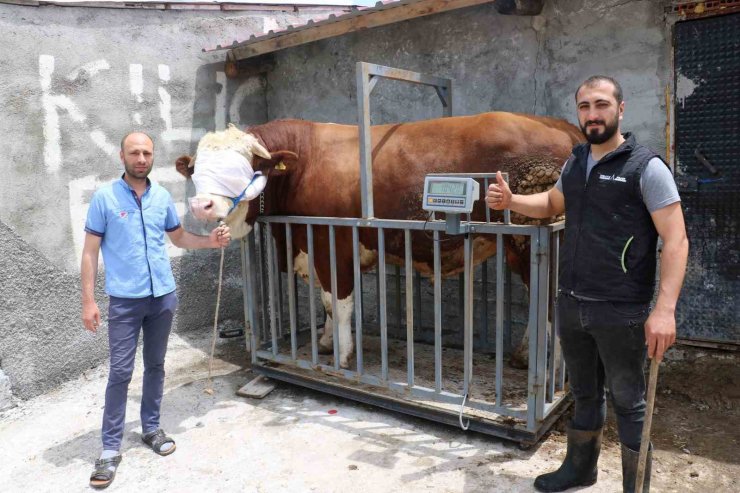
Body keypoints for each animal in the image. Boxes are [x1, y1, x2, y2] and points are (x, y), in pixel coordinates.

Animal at [176, 111, 580, 366]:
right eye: (196, 171)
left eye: (241, 169)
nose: (200, 205)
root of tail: (563, 127)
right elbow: (325, 302)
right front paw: (325, 343)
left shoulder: (332, 241)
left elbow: (339, 302)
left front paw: (342, 356)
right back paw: (524, 357)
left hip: (534, 240)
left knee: (550, 305)